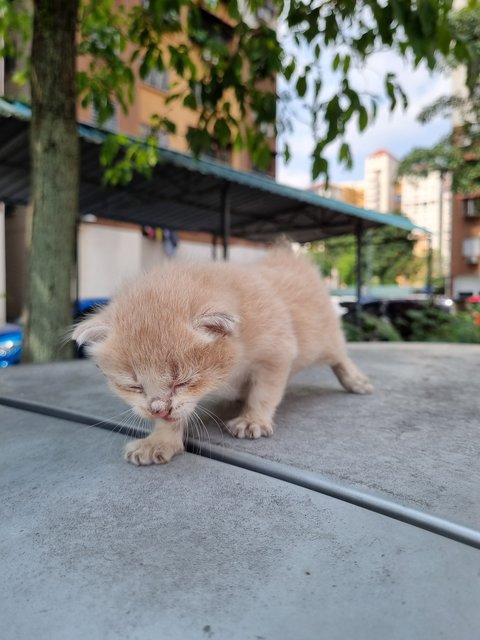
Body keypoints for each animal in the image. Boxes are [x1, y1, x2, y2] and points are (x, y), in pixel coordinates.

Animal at [72, 250, 372, 464]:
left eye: (182, 381)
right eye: (134, 386)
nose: (158, 409)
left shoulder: (276, 353)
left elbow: (264, 393)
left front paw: (253, 419)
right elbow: (175, 417)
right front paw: (159, 441)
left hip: (325, 340)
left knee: (339, 355)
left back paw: (355, 380)